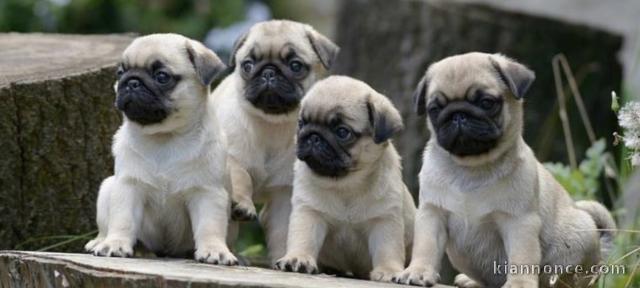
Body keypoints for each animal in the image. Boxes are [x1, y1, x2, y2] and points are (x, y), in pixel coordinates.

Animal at [82, 33, 238, 266]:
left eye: (162, 77)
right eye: (120, 72)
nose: (132, 82)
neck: (164, 137)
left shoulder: (207, 192)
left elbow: (209, 226)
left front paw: (214, 250)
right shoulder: (128, 186)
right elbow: (123, 220)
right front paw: (115, 244)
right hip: (108, 188)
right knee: (105, 225)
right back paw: (105, 242)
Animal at [212, 18, 340, 260]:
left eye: (296, 66)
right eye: (248, 65)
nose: (269, 72)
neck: (270, 125)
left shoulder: (284, 192)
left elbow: (282, 229)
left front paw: (282, 257)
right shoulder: (233, 158)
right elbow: (241, 177)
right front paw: (243, 205)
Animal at [274, 75, 416, 282]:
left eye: (342, 132)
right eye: (301, 123)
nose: (313, 136)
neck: (345, 183)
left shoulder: (384, 220)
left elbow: (387, 249)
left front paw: (389, 271)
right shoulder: (309, 213)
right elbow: (303, 238)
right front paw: (297, 259)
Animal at [392, 53, 616, 286]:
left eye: (486, 102)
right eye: (434, 110)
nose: (458, 115)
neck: (471, 168)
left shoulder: (519, 222)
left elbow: (521, 257)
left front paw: (519, 284)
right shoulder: (432, 213)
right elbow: (425, 247)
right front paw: (418, 271)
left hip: (577, 241)